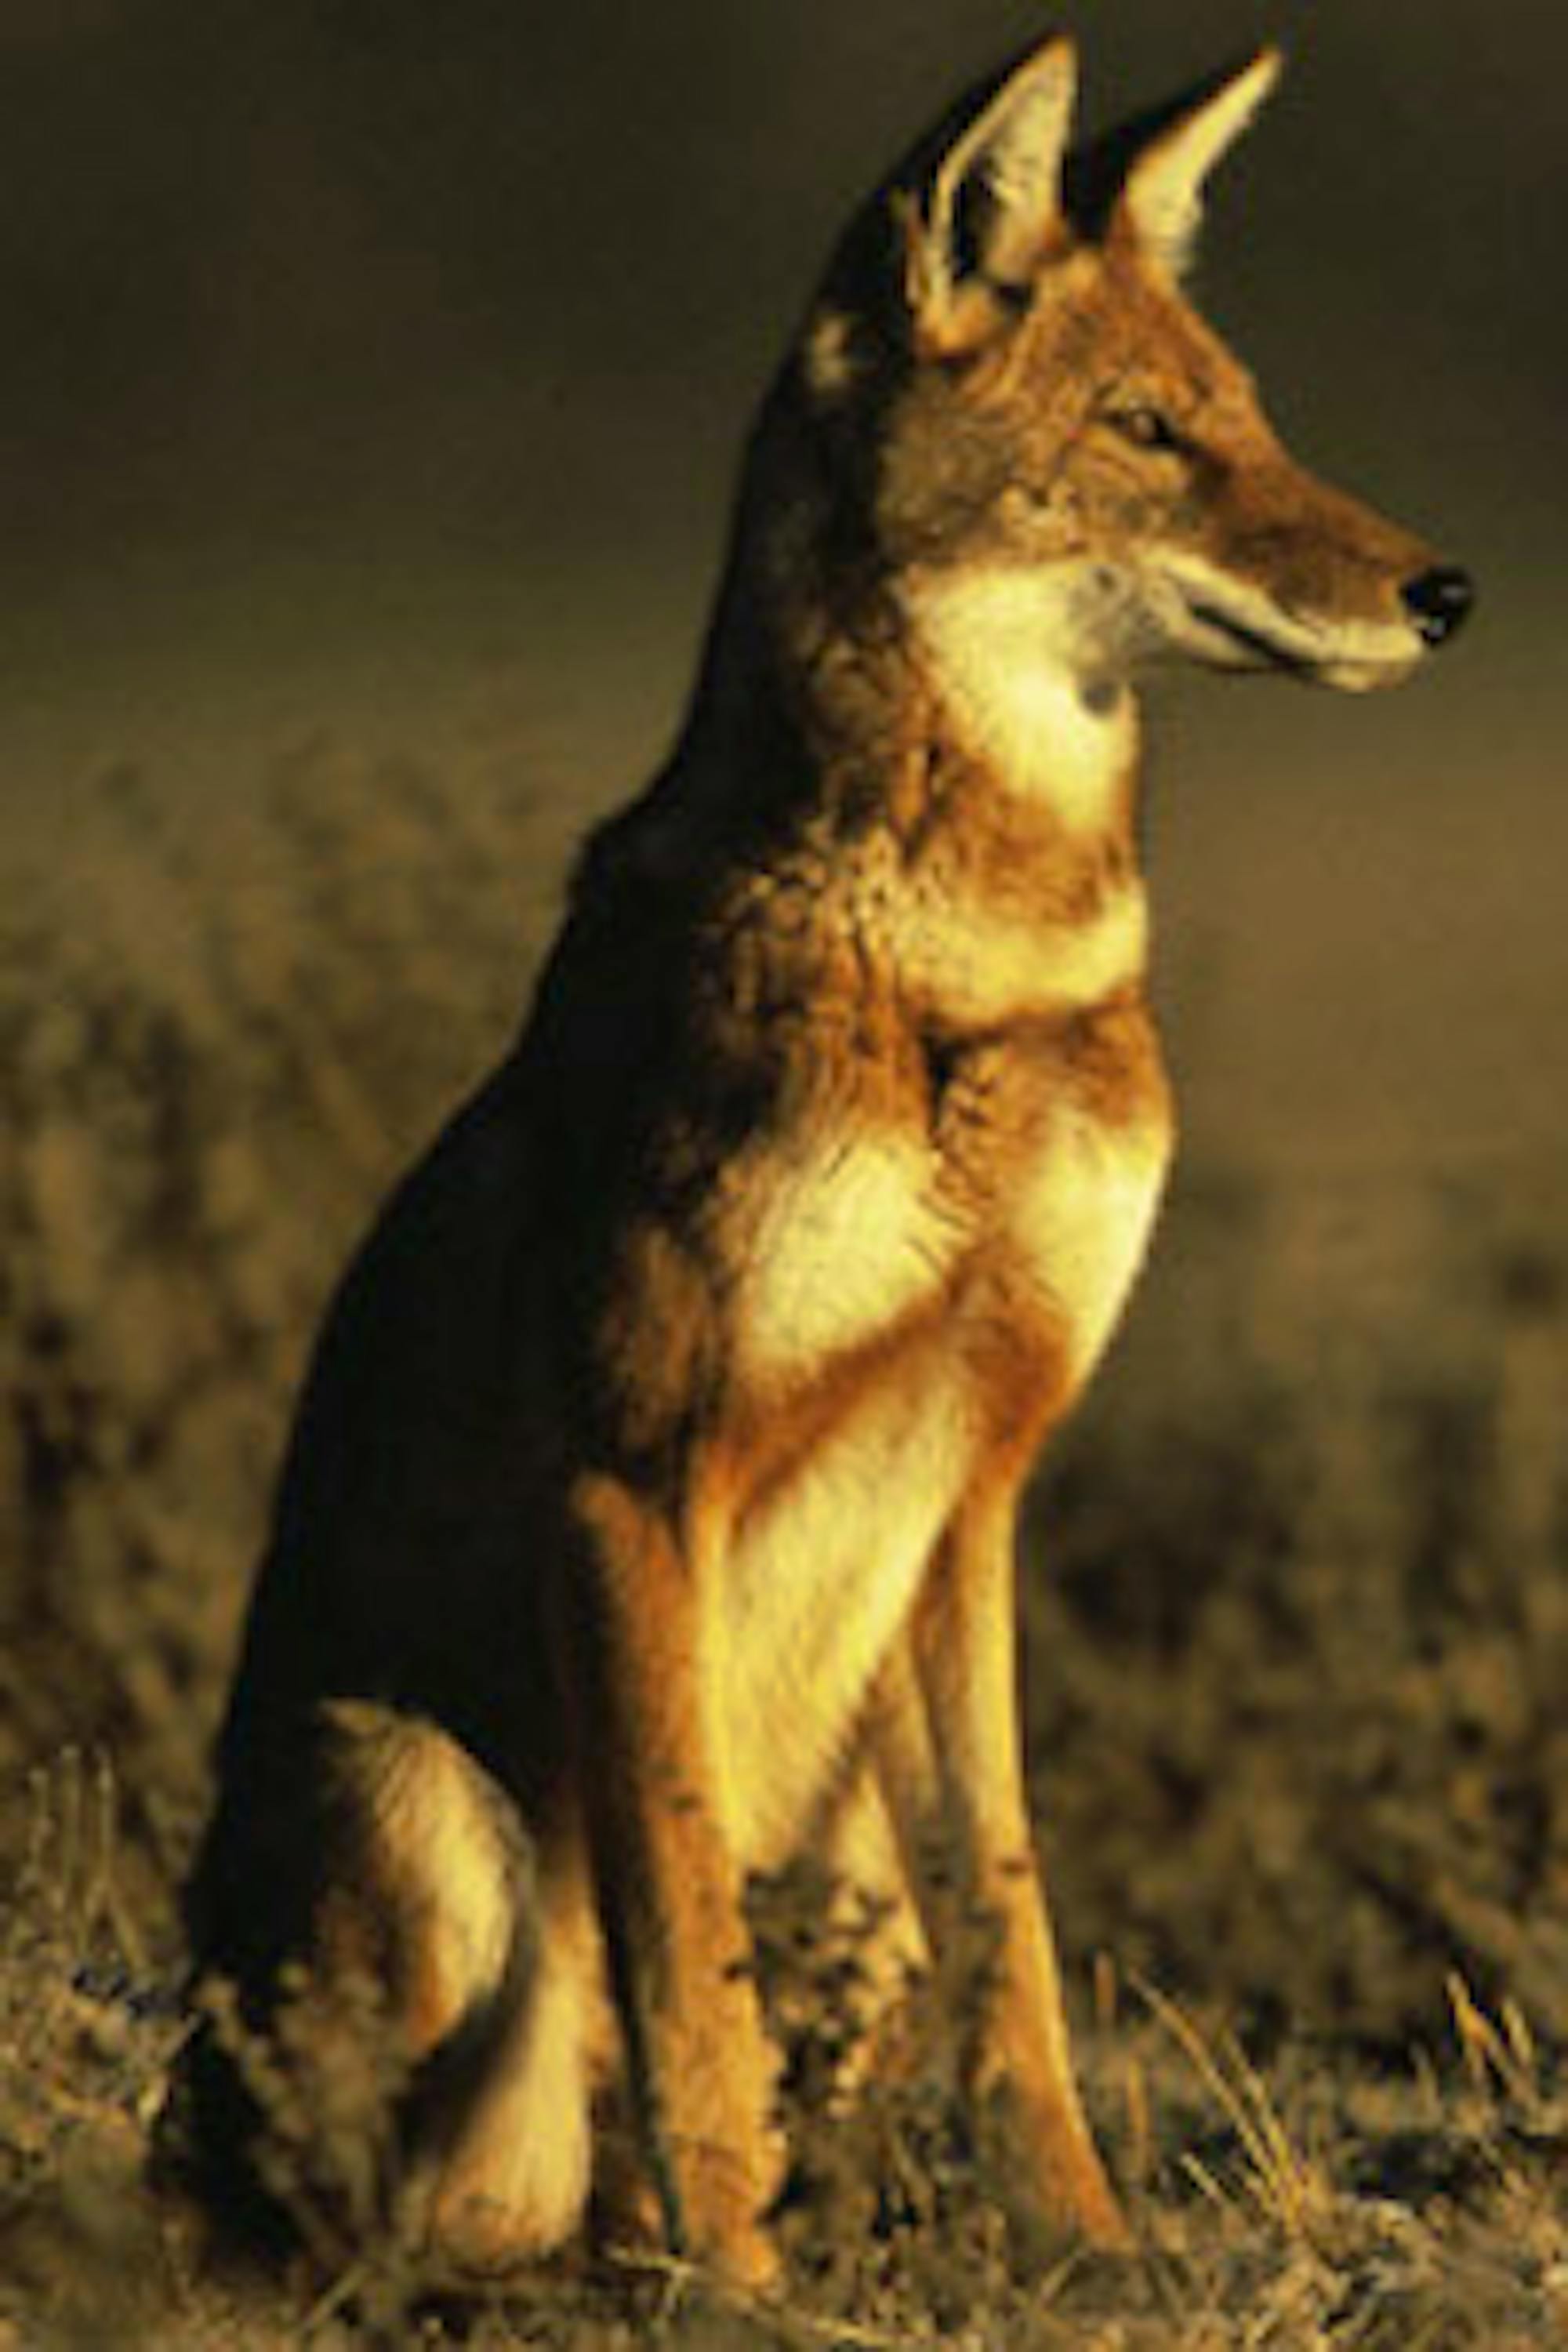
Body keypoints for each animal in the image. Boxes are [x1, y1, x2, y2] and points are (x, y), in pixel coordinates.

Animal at [184, 32, 1476, 2277]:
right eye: (1144, 433)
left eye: (1249, 416)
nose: (1446, 589)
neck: (985, 976)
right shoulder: (633, 1469)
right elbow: (683, 1941)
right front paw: (744, 2279)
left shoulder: (977, 1478)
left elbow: (1012, 1926)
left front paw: (1085, 2243)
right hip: (429, 1819)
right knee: (438, 2184)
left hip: (836, 1830)